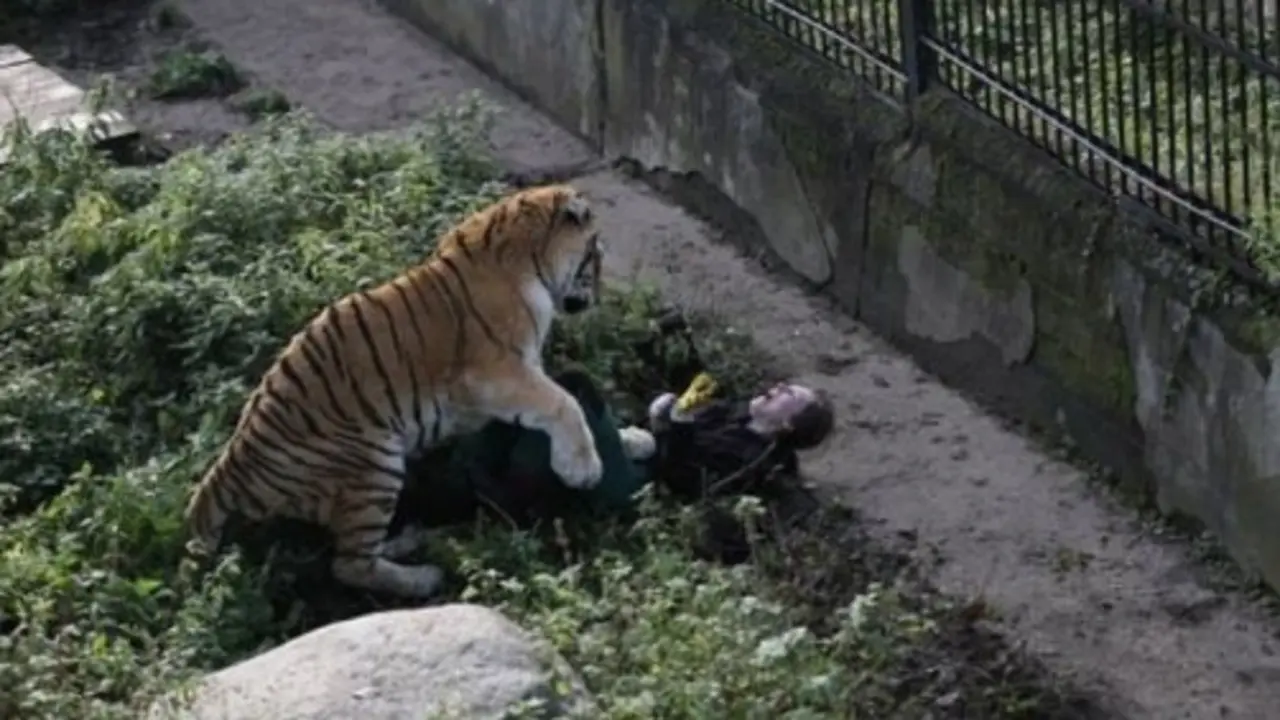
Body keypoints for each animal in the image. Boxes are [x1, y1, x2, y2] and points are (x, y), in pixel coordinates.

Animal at [182, 183, 606, 599]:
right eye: (595, 254)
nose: (600, 294)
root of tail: (228, 467)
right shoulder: (494, 373)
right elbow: (562, 403)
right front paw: (583, 469)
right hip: (374, 463)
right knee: (350, 564)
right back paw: (424, 578)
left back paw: (409, 540)